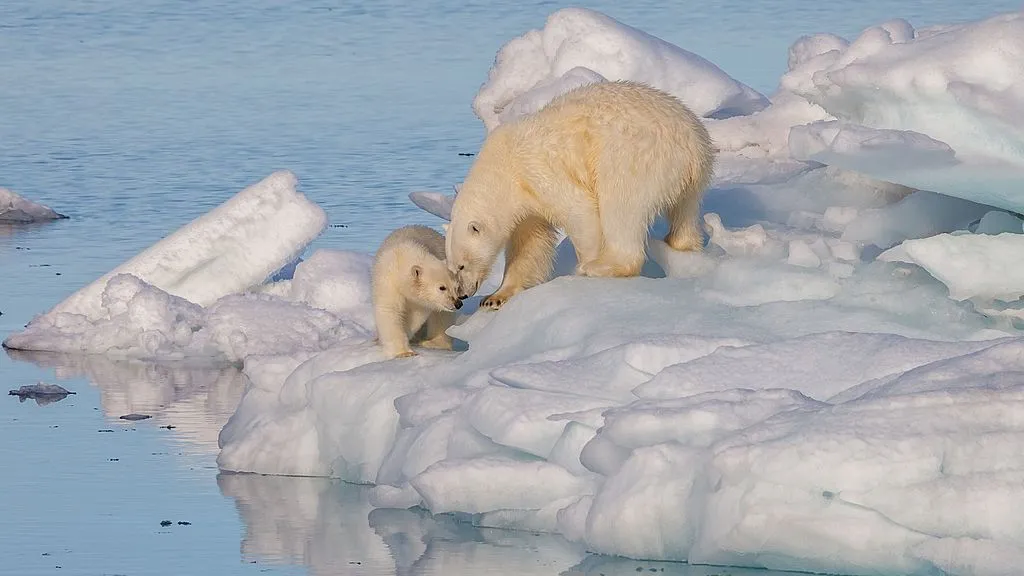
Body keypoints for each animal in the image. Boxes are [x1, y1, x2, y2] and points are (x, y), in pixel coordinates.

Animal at [372, 225, 464, 359]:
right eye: (442, 287)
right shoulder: (387, 281)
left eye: (456, 287)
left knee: (442, 318)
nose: (458, 304)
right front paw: (404, 352)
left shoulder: (421, 302)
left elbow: (415, 316)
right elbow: (390, 310)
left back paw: (433, 343)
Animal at [444, 80, 715, 310]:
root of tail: (694, 144)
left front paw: (585, 264)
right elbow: (529, 244)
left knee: (621, 207)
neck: (503, 168)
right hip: (691, 177)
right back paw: (681, 243)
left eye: (461, 265)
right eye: (450, 266)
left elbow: (580, 212)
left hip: (633, 157)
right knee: (685, 211)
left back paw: (601, 267)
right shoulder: (526, 204)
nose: (463, 294)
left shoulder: (538, 172)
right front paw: (496, 297)